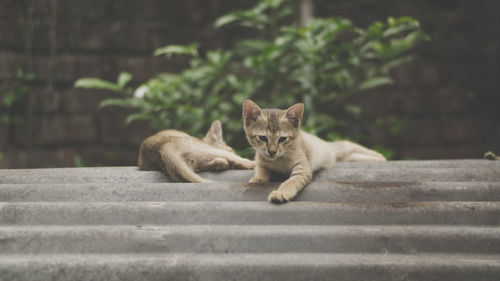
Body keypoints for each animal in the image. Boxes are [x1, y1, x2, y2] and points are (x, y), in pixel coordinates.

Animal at [242, 99, 386, 202]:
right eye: (262, 138)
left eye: (282, 139)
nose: (272, 152)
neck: (278, 160)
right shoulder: (261, 158)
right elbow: (261, 168)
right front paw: (258, 178)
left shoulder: (303, 169)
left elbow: (291, 181)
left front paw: (281, 192)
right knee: (350, 156)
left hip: (339, 148)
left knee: (348, 144)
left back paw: (378, 156)